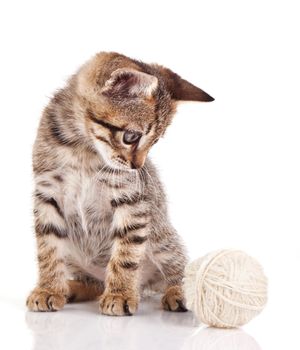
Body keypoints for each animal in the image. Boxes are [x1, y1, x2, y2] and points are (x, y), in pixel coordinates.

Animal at [25, 52, 213, 318]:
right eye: (131, 137)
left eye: (155, 141)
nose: (137, 167)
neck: (83, 149)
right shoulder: (47, 193)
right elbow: (48, 250)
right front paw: (49, 288)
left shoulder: (132, 201)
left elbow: (126, 254)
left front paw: (121, 294)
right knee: (94, 283)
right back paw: (71, 288)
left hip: (162, 240)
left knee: (178, 269)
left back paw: (176, 292)